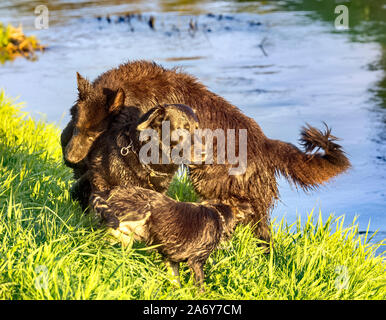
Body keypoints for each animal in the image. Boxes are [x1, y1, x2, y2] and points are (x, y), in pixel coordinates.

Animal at [61, 60, 352, 250]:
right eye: (78, 125)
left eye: (95, 132)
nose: (69, 159)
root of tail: (265, 144)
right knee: (261, 228)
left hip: (213, 183)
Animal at [91, 185, 235, 288]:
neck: (218, 216)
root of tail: (107, 191)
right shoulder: (196, 261)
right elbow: (200, 286)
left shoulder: (171, 260)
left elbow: (176, 283)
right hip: (141, 212)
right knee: (112, 225)